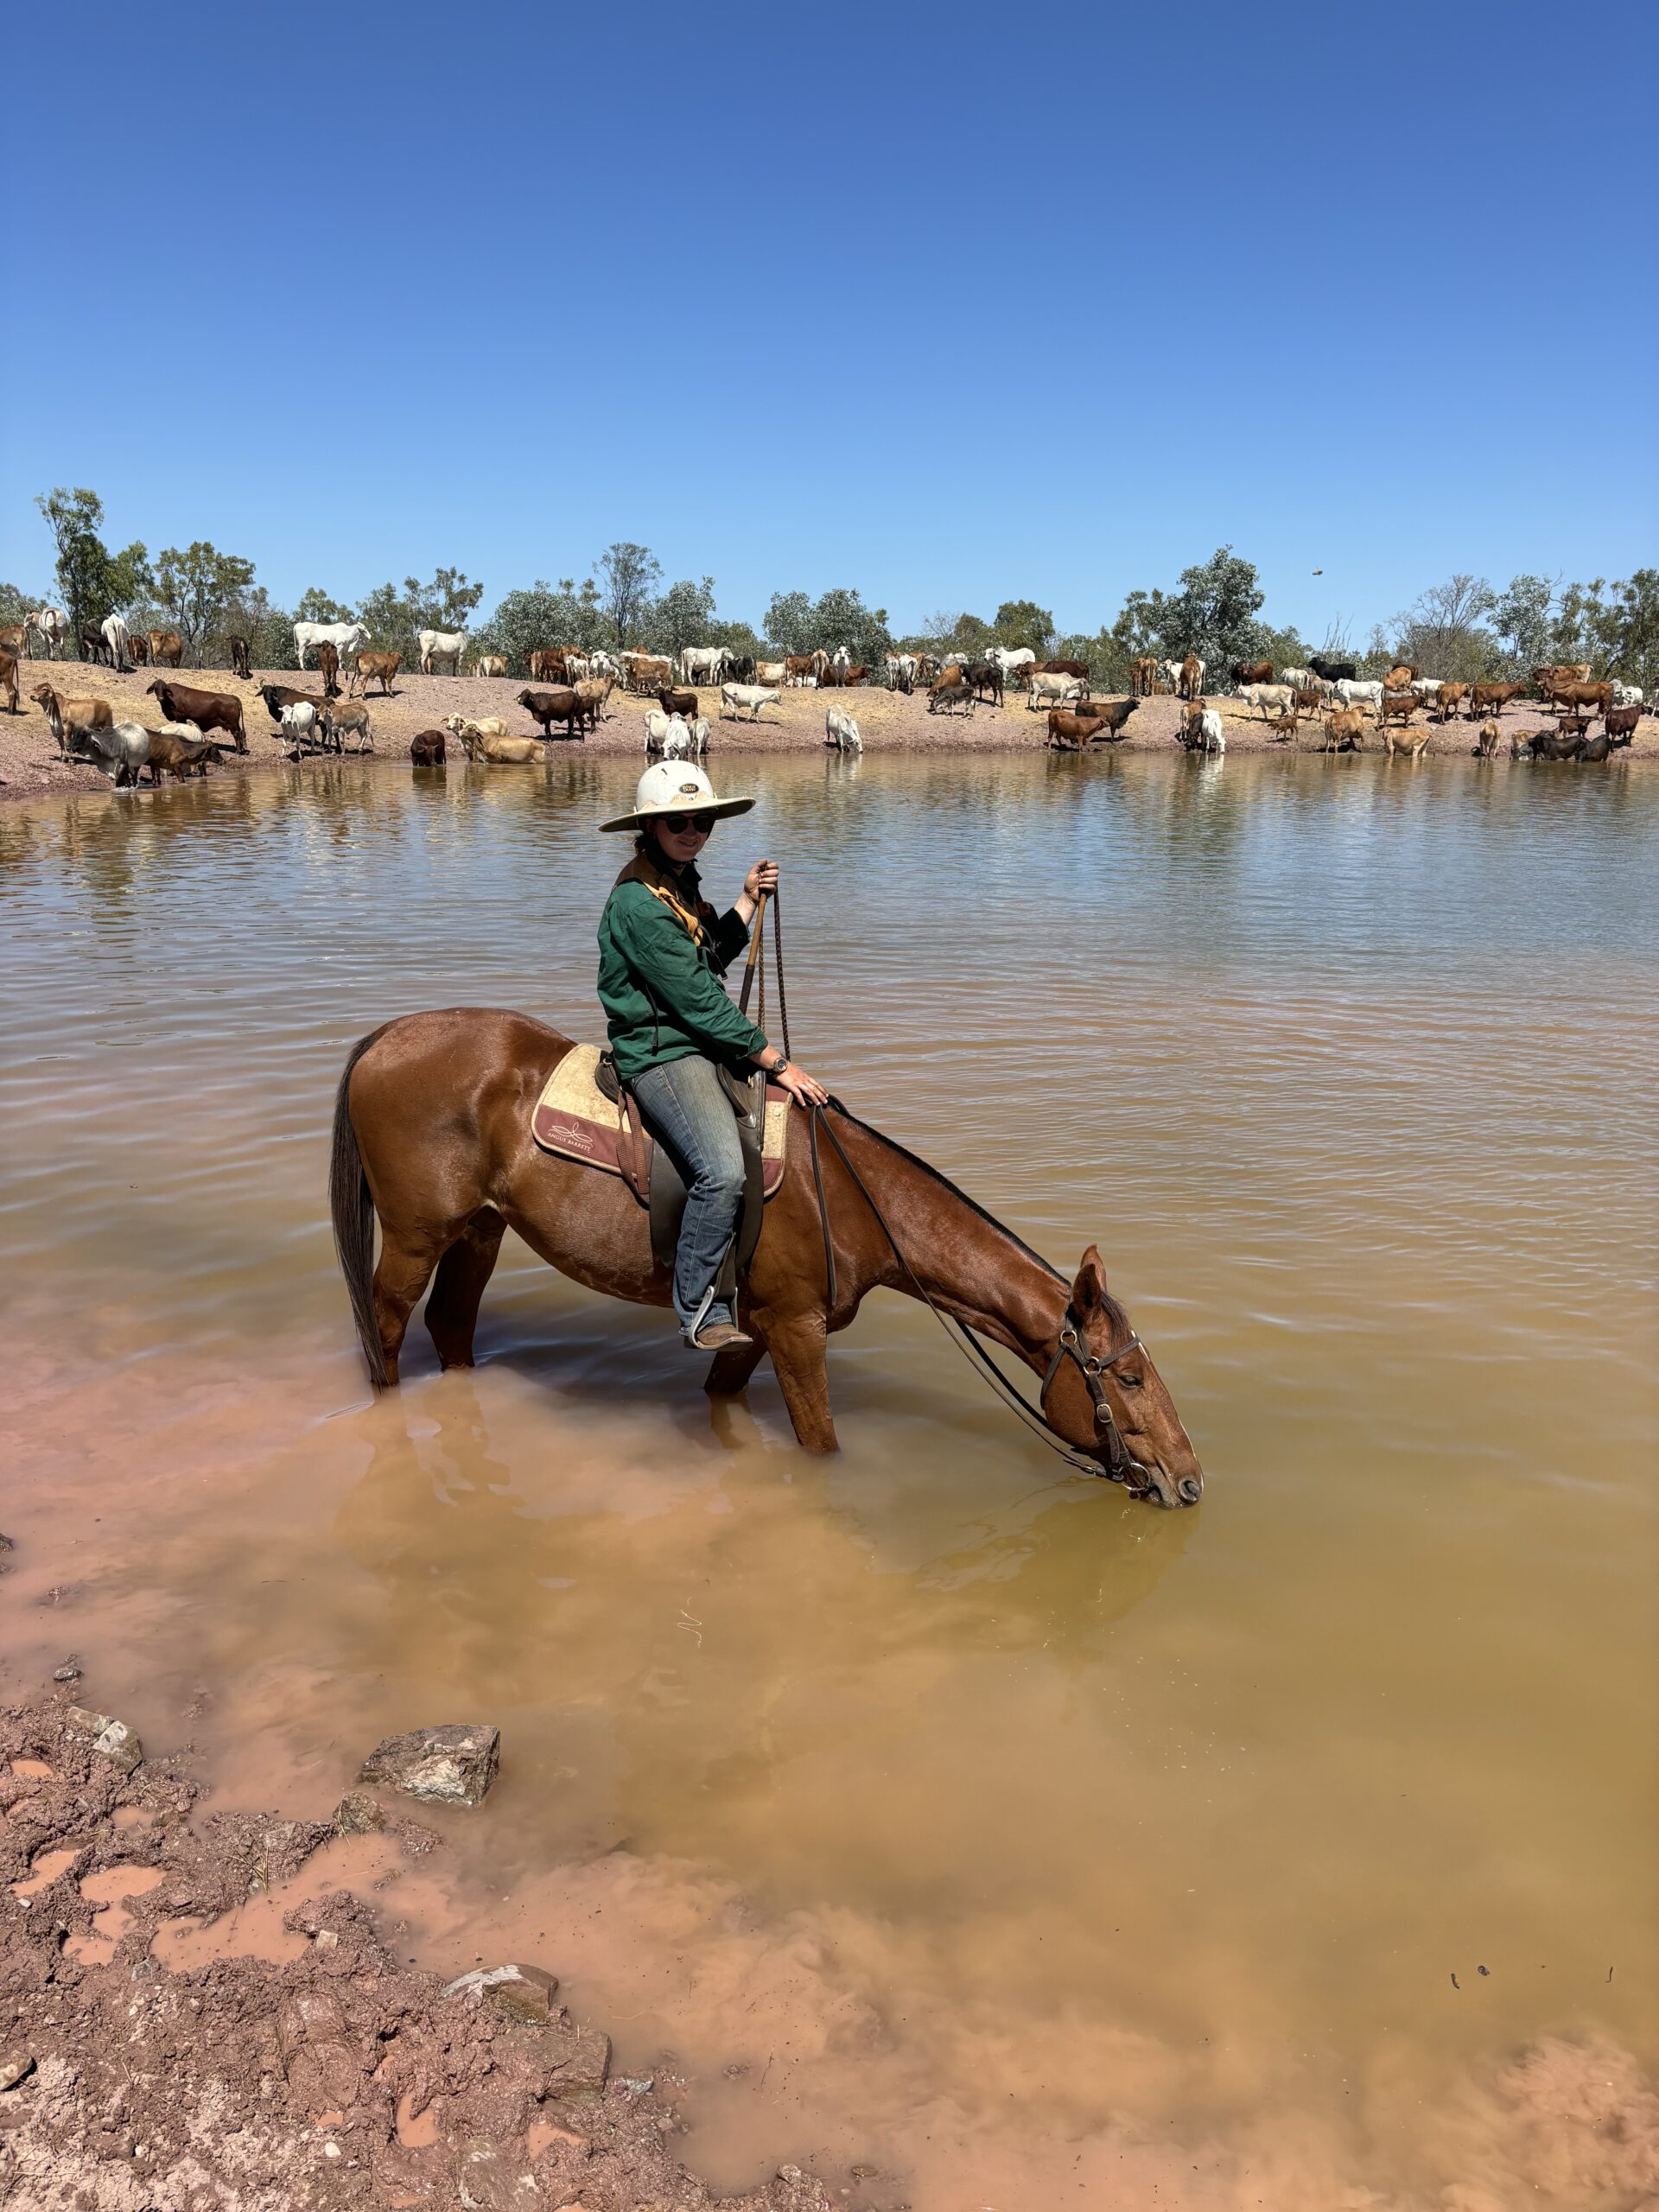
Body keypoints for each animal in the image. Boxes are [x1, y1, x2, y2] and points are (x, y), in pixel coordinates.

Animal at [330, 1012, 1204, 1508]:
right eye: (1129, 1378)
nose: (1189, 1478)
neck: (850, 1198)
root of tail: (388, 1038)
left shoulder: (750, 1331)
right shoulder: (795, 1329)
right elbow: (821, 1446)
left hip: (480, 1231)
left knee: (452, 1325)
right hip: (414, 1237)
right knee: (387, 1329)